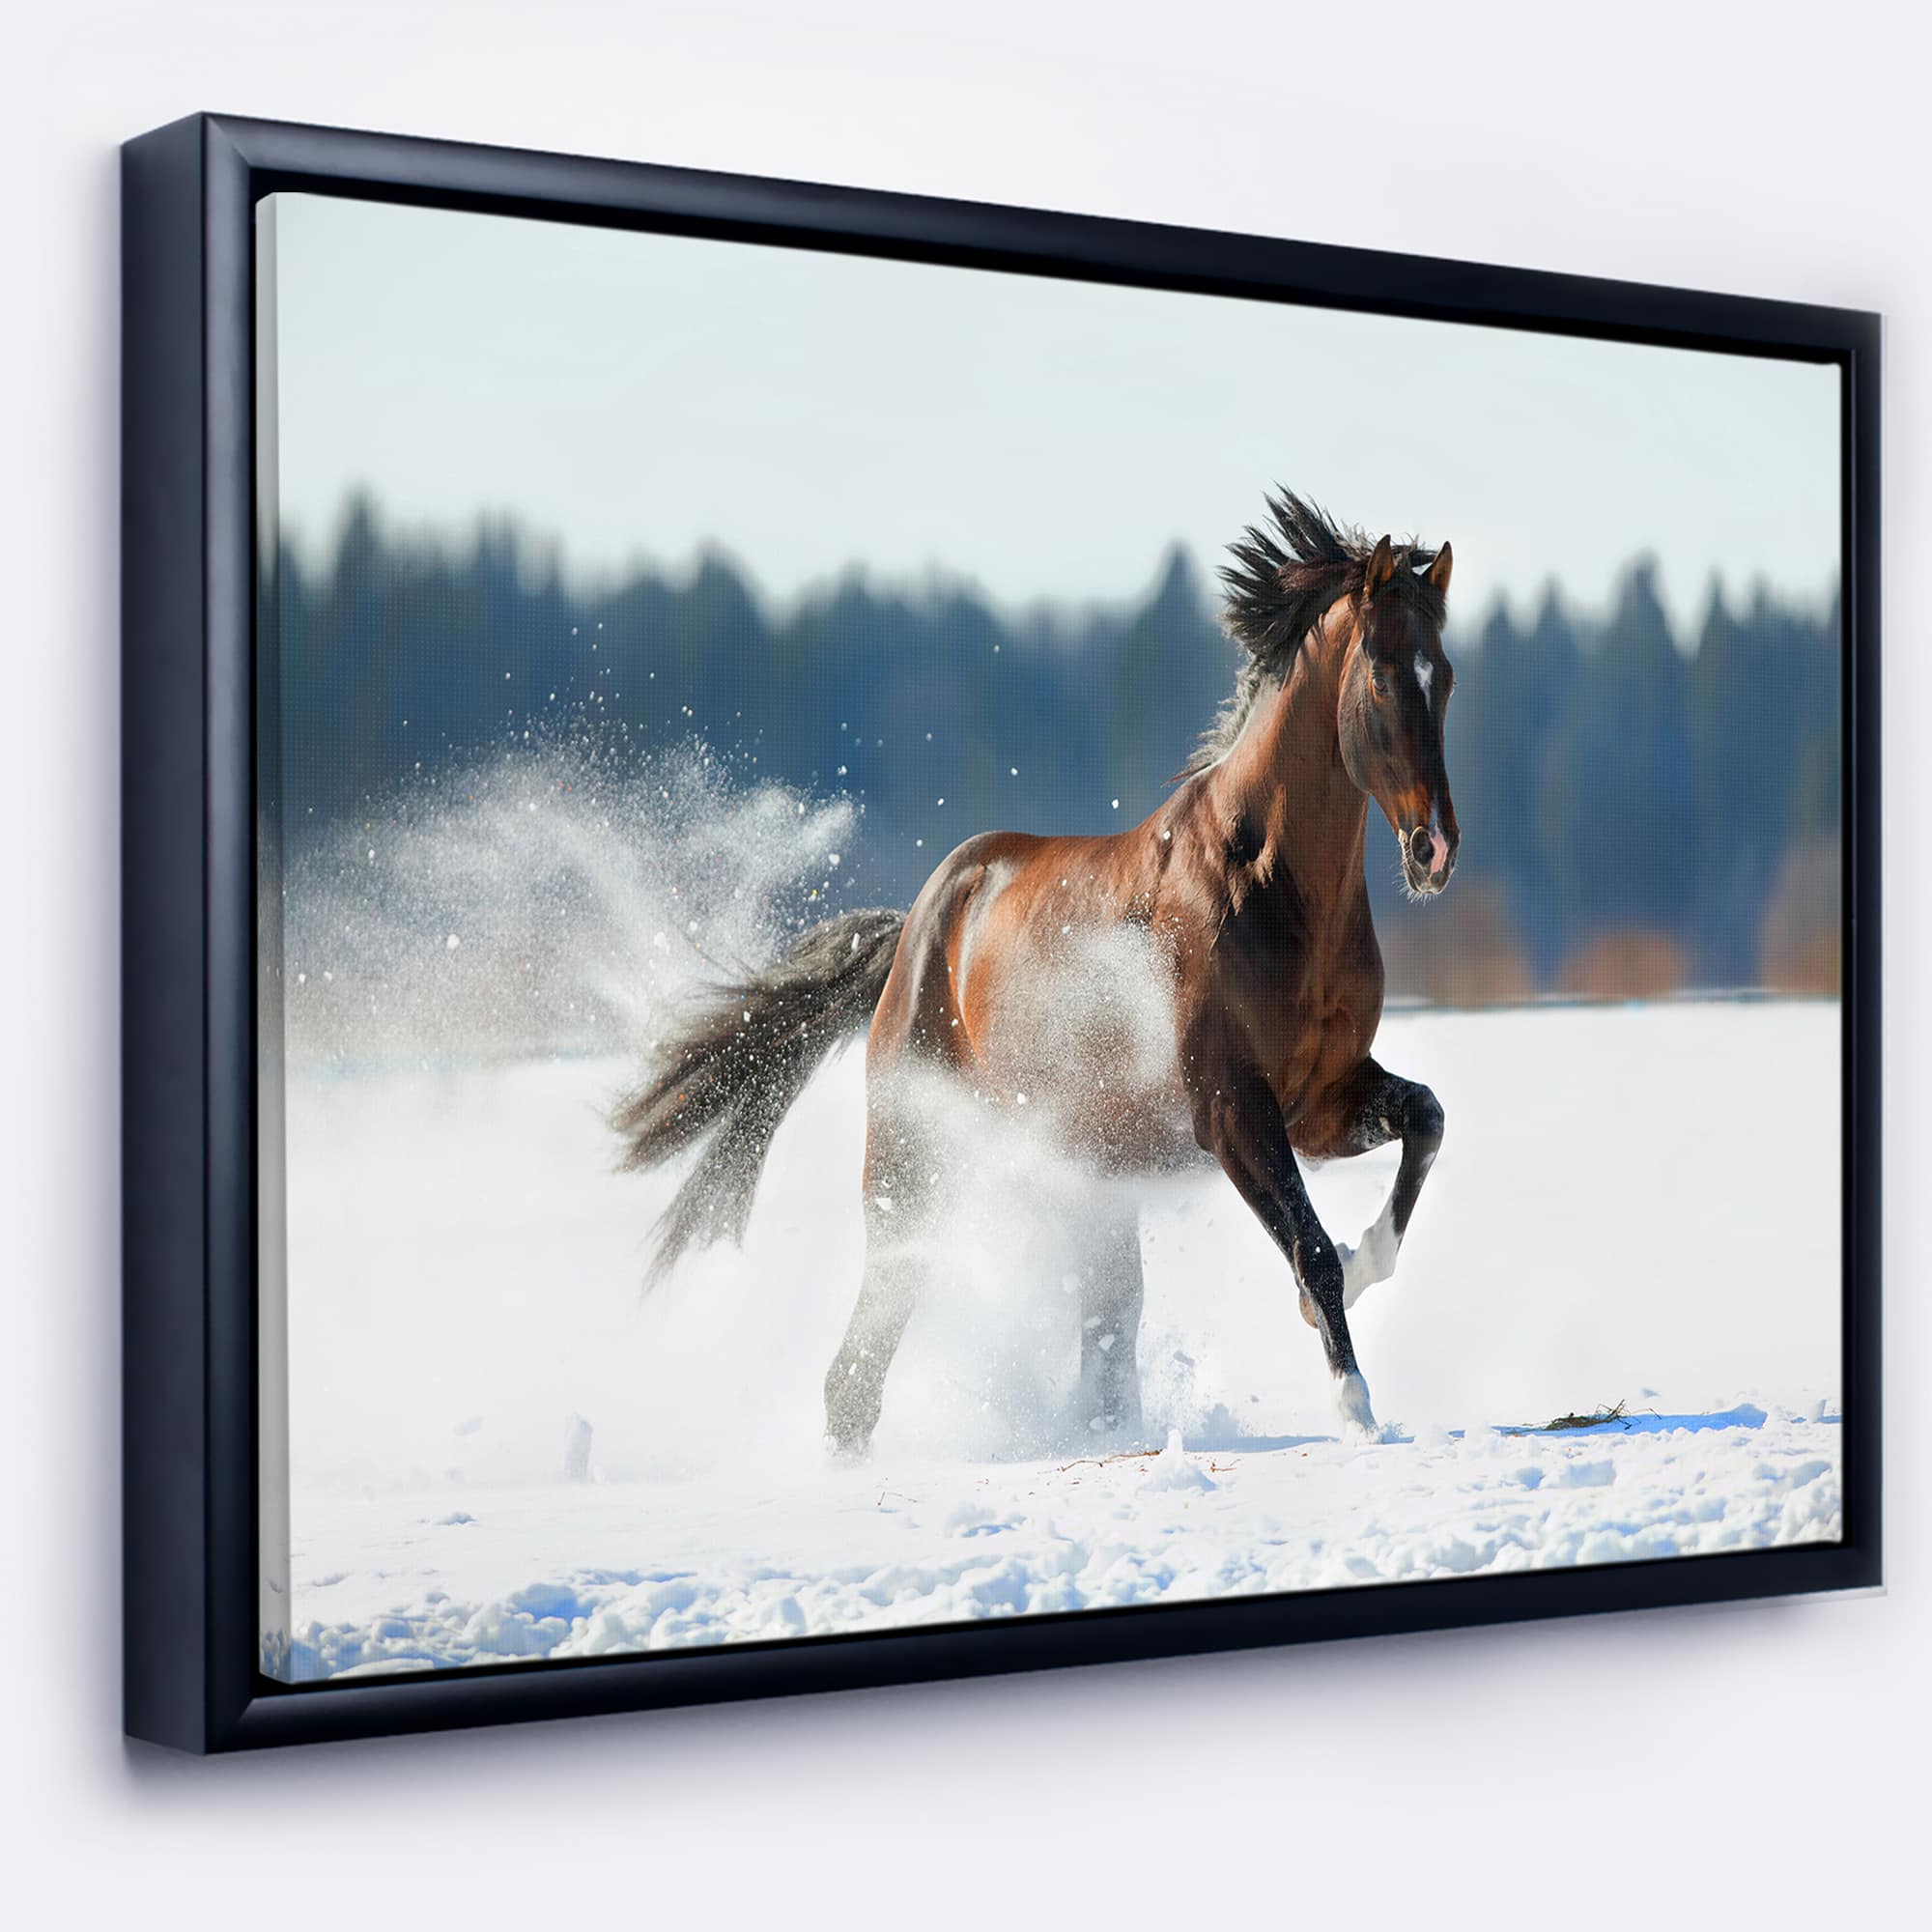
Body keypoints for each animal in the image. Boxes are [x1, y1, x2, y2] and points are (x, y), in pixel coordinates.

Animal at [614, 489, 1459, 1449]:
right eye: (1384, 677)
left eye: (1446, 675)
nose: (1434, 851)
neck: (1265, 886)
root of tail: (918, 930)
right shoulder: (1231, 1113)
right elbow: (1310, 1246)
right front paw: (1356, 1406)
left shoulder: (1322, 1101)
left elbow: (1426, 1121)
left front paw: (1363, 1268)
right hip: (915, 1165)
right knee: (865, 1354)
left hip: (1089, 1179)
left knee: (1099, 1334)